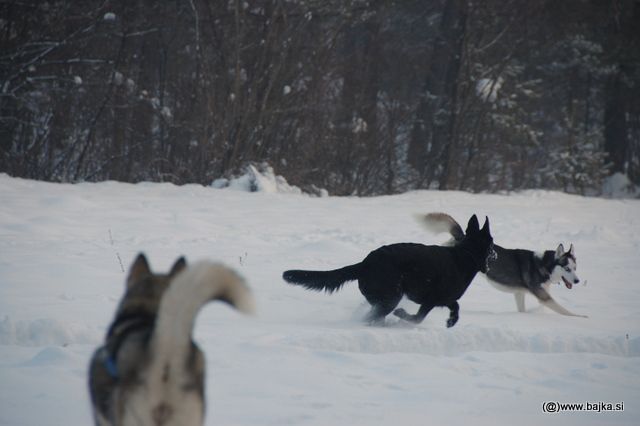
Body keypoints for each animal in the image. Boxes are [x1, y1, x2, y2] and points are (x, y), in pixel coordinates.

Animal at [282, 215, 496, 328]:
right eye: (492, 244)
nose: (495, 256)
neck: (465, 255)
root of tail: (364, 264)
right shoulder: (430, 299)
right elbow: (417, 318)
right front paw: (403, 315)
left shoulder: (443, 299)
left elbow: (455, 305)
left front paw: (452, 321)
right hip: (390, 298)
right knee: (371, 317)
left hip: (382, 300)